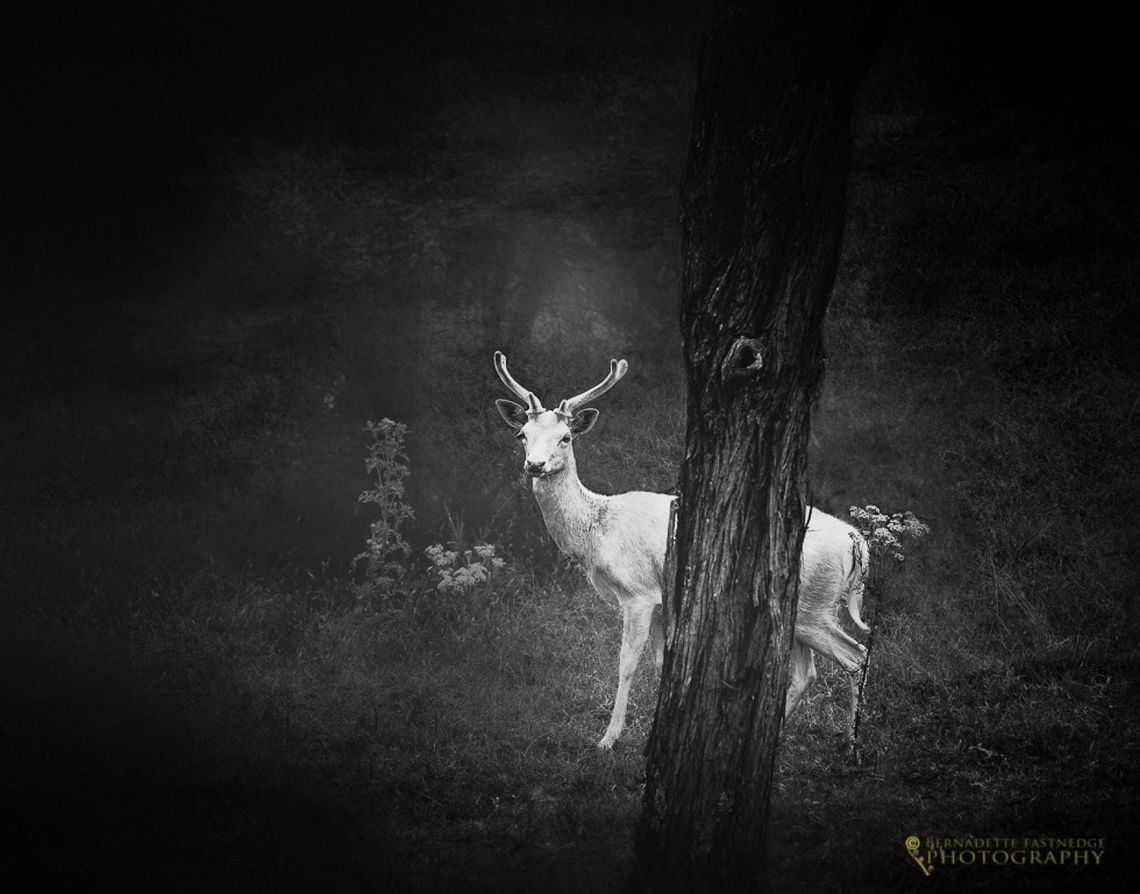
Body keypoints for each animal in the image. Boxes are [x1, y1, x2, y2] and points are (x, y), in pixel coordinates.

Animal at [493, 351, 869, 750]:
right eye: (522, 434)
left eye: (565, 437)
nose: (535, 464)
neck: (597, 533)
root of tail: (856, 540)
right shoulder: (661, 602)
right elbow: (662, 664)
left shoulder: (637, 593)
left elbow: (627, 663)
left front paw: (608, 739)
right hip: (803, 611)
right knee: (806, 671)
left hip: (814, 605)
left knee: (854, 655)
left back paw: (851, 744)